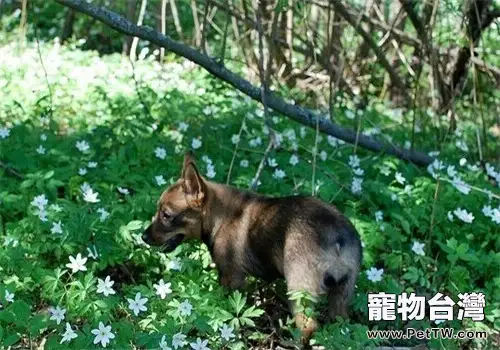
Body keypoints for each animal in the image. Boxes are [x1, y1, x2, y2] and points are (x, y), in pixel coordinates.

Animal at [143, 153, 362, 344]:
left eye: (166, 215)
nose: (143, 237)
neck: (219, 217)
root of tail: (336, 236)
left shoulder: (231, 277)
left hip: (299, 291)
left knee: (308, 326)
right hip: (342, 294)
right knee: (341, 324)